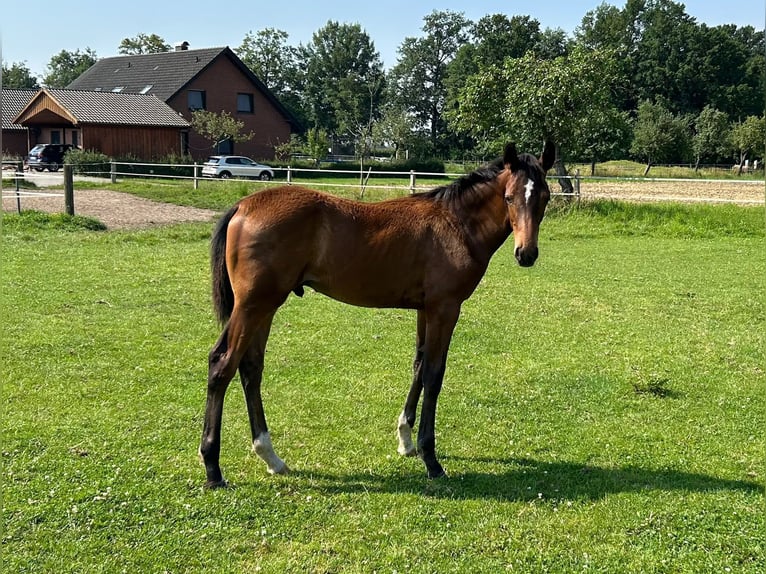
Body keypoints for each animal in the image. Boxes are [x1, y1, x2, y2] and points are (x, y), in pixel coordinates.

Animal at [201, 142, 556, 488]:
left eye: (544, 197)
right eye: (508, 197)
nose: (526, 254)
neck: (456, 225)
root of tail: (242, 207)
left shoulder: (425, 309)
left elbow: (418, 366)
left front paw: (406, 441)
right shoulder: (445, 308)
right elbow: (434, 374)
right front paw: (431, 459)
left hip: (265, 306)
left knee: (250, 367)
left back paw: (271, 458)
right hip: (253, 305)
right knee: (222, 365)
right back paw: (213, 469)